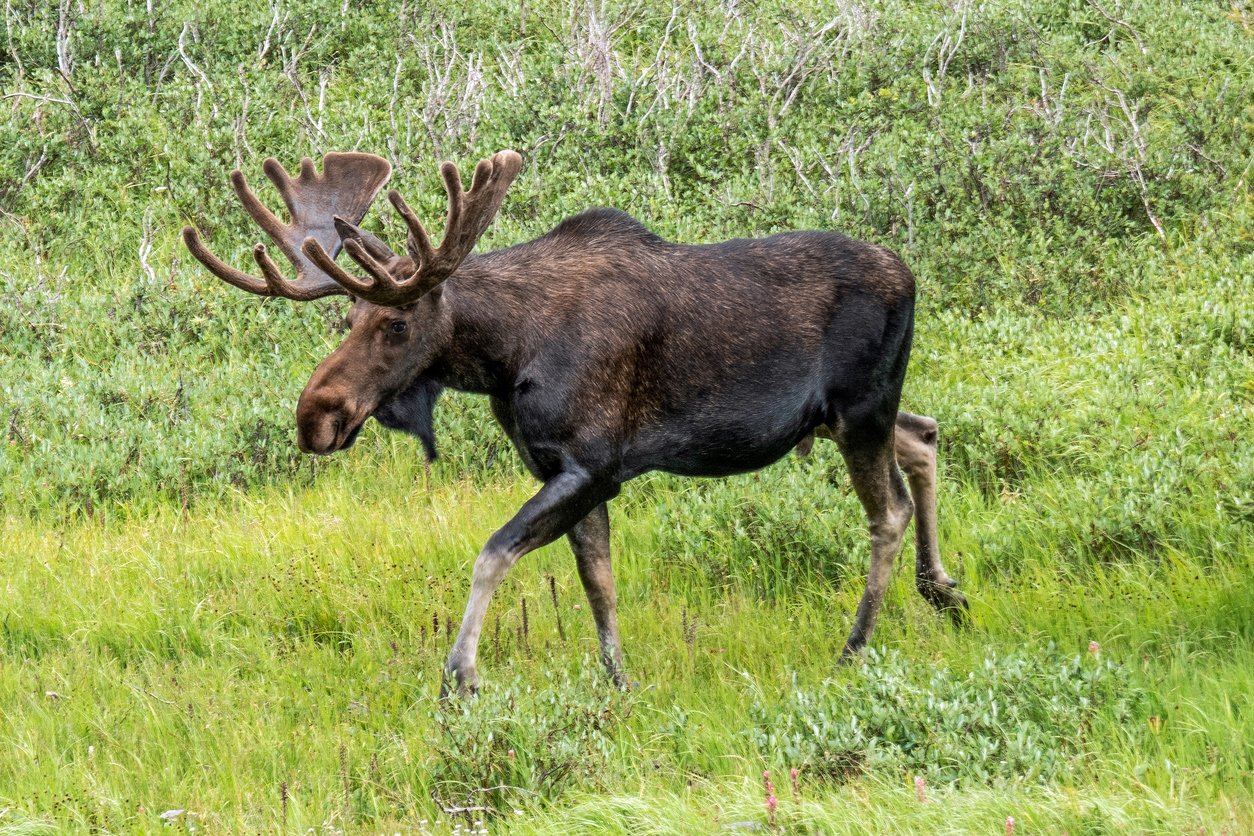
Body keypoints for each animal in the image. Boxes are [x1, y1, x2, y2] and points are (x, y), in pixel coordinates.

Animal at [183, 152, 968, 701]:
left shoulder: (592, 465)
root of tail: (910, 274)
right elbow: (599, 582)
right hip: (842, 415)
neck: (503, 356)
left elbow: (493, 553)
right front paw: (618, 681)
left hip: (859, 409)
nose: (315, 417)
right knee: (925, 435)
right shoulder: (567, 469)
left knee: (889, 511)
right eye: (347, 317)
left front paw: (460, 676)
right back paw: (943, 588)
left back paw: (855, 647)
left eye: (397, 323)